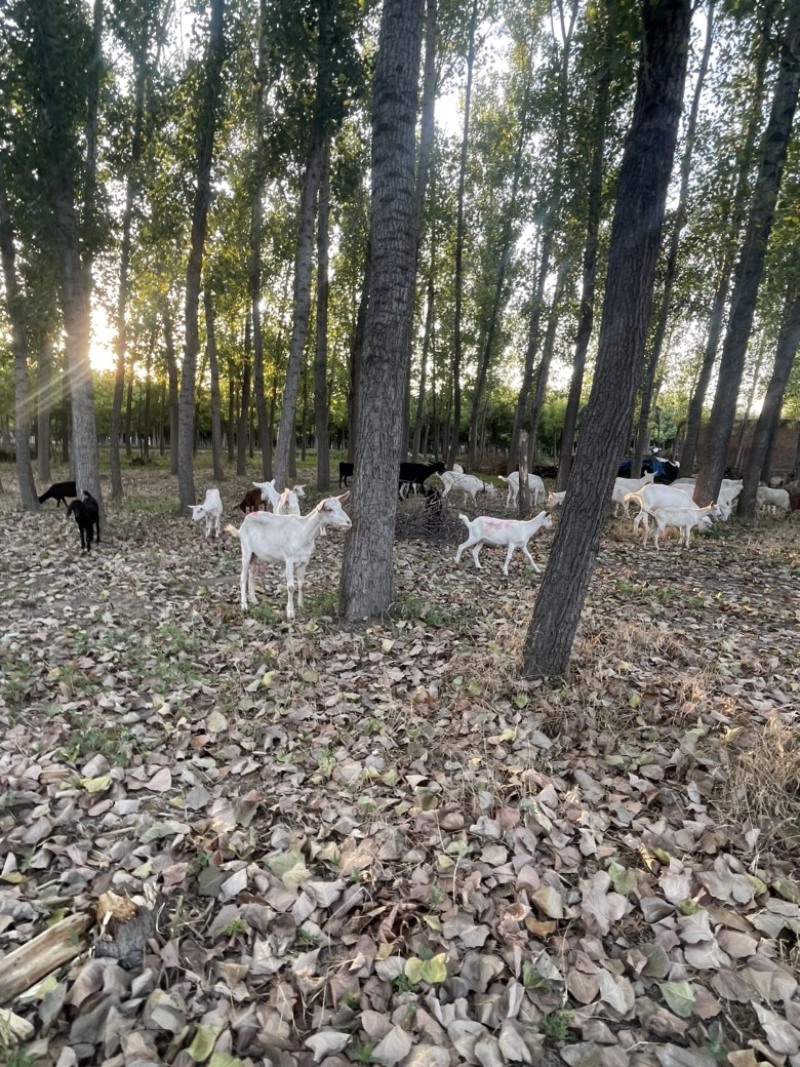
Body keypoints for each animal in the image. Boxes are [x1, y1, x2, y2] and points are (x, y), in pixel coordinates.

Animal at [226, 490, 349, 618]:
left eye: (340, 506)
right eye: (329, 509)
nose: (348, 522)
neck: (303, 532)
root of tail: (242, 525)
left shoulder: (304, 561)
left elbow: (301, 584)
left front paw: (301, 605)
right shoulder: (289, 559)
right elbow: (290, 587)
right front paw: (290, 612)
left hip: (257, 554)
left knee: (252, 573)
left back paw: (254, 600)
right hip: (246, 549)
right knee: (243, 577)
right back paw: (244, 605)